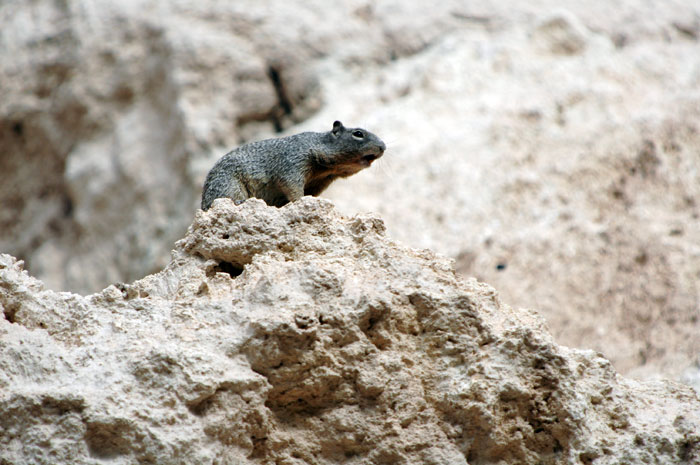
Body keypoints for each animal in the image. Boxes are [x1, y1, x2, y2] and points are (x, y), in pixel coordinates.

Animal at [202, 120, 386, 209]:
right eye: (358, 134)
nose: (383, 146)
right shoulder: (293, 163)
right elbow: (291, 186)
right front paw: (299, 201)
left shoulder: (319, 182)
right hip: (228, 185)